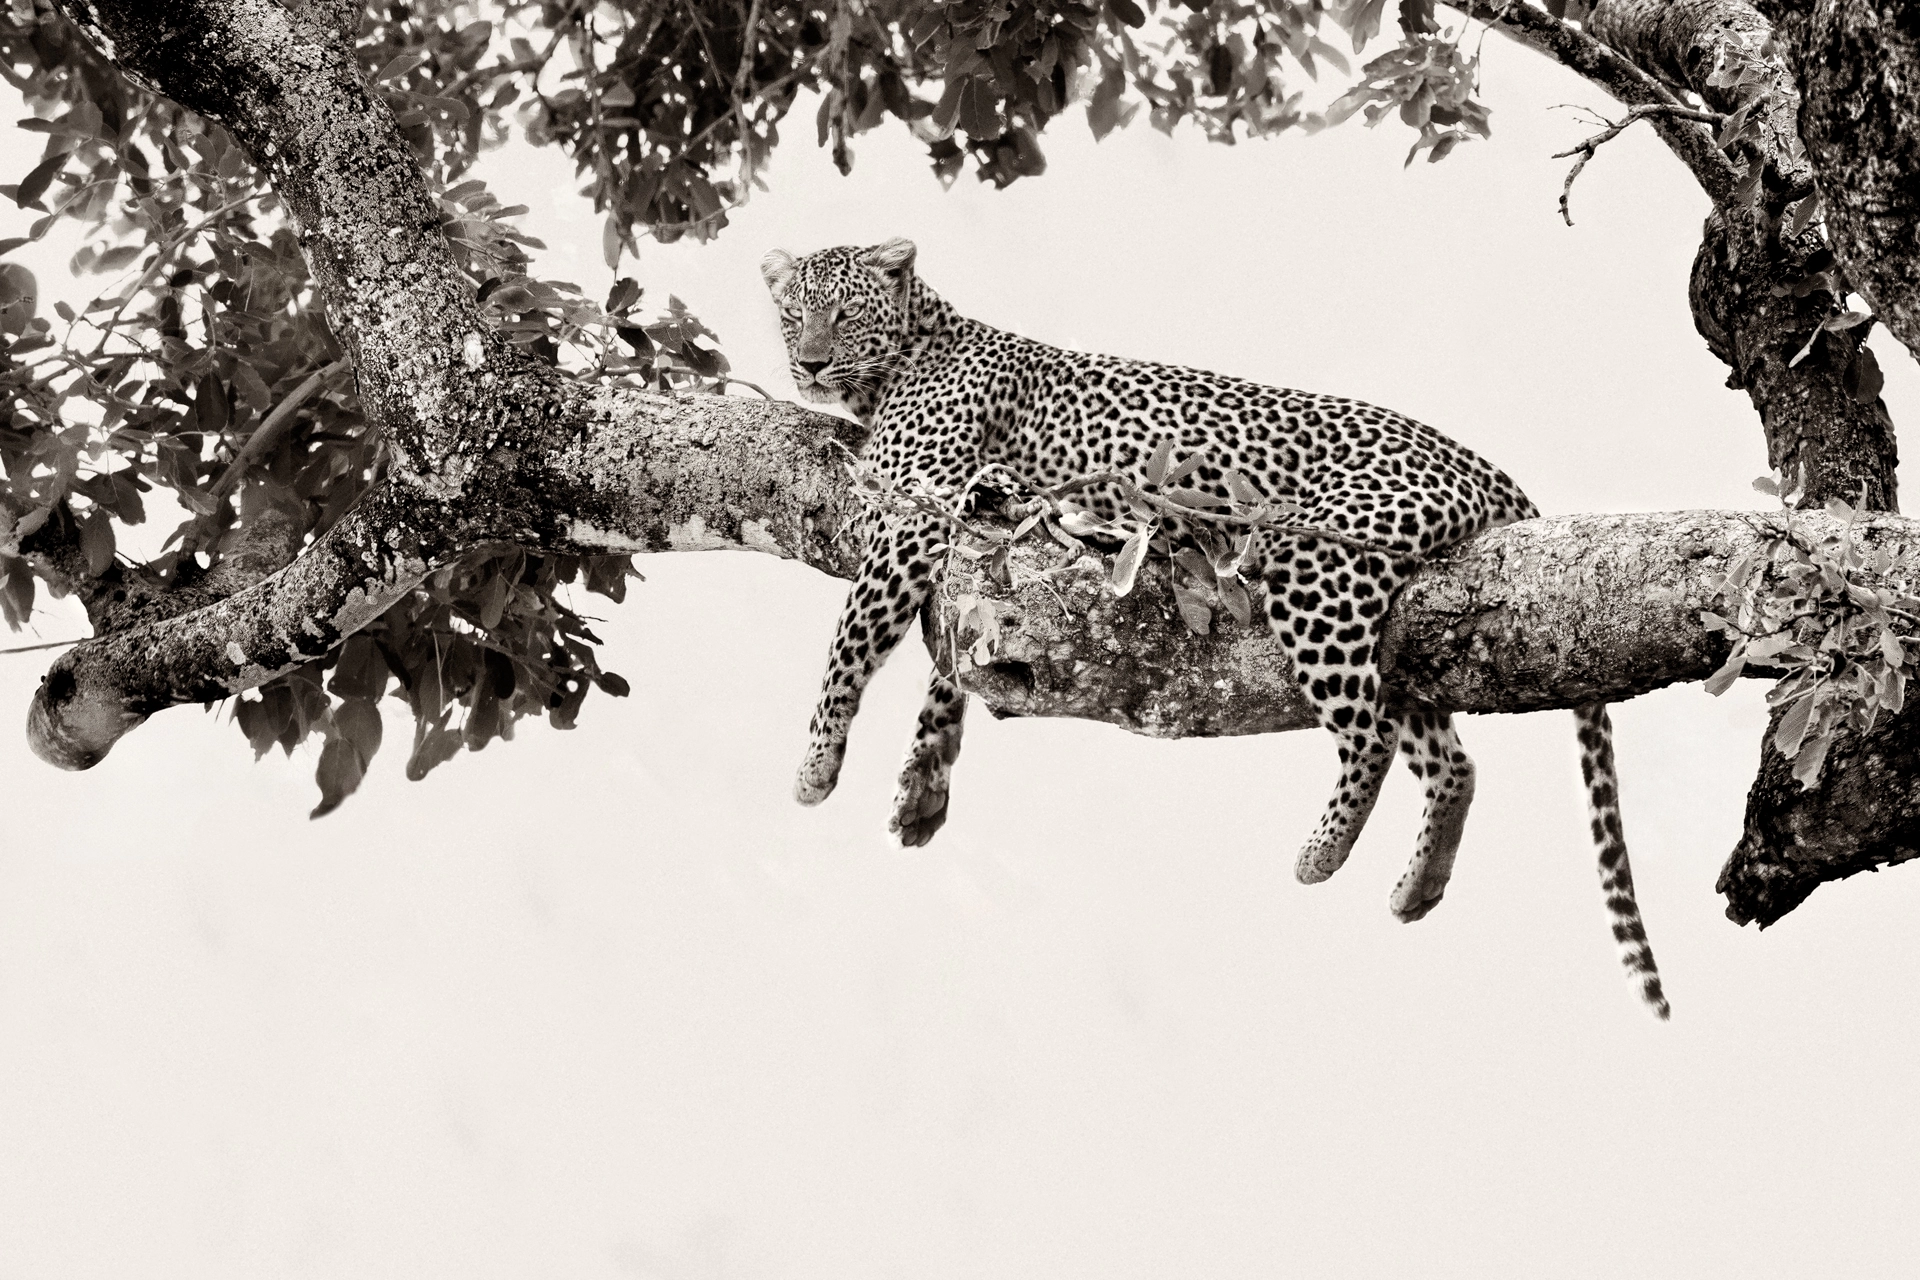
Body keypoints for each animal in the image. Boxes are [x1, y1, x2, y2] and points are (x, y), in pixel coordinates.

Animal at [761, 236, 1669, 1019]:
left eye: (842, 313)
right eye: (792, 314)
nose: (808, 362)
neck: (907, 353)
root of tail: (1488, 465)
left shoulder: (917, 513)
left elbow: (850, 641)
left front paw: (814, 764)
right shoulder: (961, 540)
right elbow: (950, 658)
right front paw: (921, 783)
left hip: (1316, 561)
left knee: (1368, 735)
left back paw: (1321, 854)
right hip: (1399, 636)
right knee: (1448, 759)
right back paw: (1419, 883)